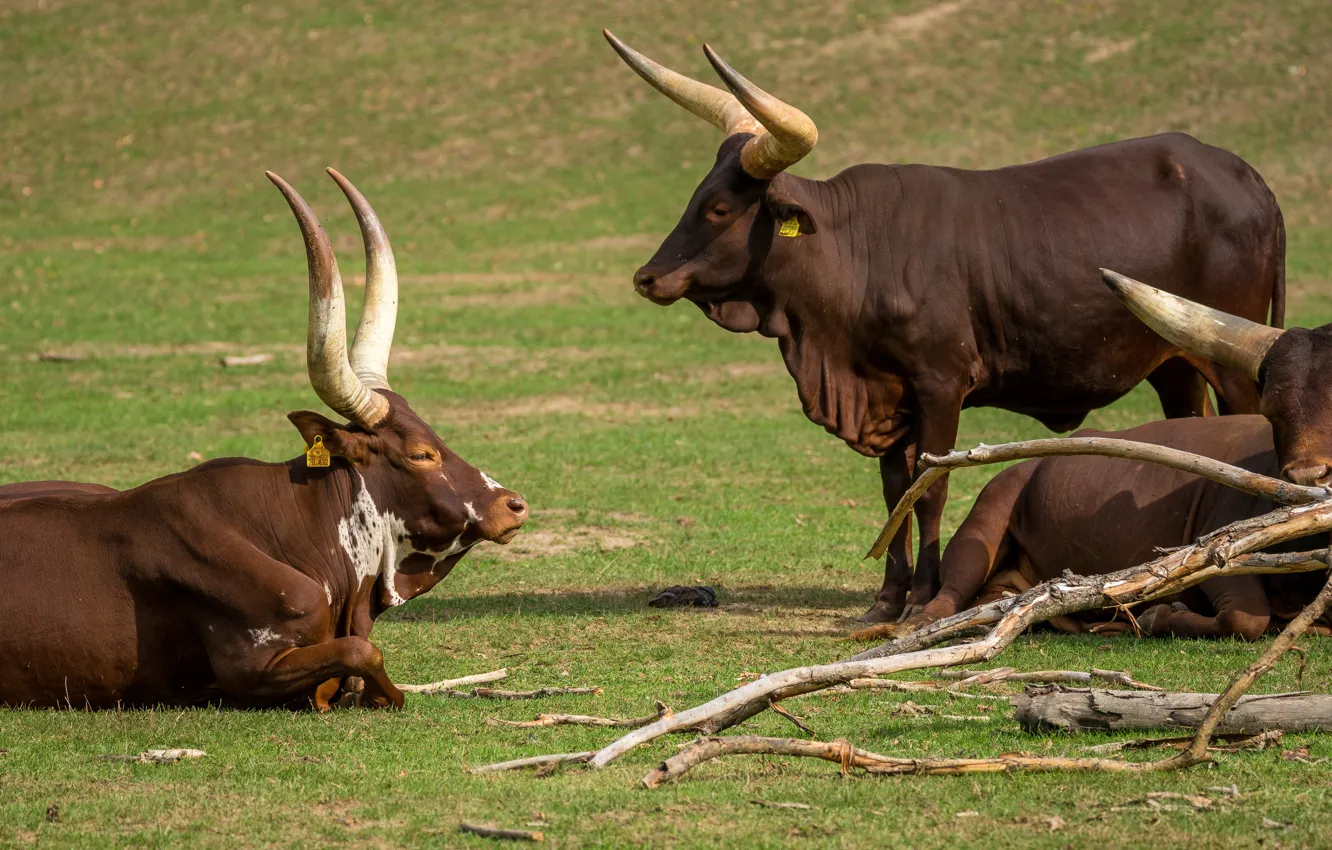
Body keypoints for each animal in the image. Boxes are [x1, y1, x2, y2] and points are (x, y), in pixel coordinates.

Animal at [610, 31, 1284, 626]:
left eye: (720, 208)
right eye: (697, 196)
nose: (647, 277)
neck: (858, 254)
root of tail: (1246, 177)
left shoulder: (940, 386)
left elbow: (929, 488)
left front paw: (919, 600)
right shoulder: (886, 397)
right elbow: (894, 493)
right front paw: (885, 600)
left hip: (1232, 359)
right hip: (1174, 363)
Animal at [873, 277, 1332, 642]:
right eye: (1271, 411)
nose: (1309, 477)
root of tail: (1026, 464)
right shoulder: (1218, 550)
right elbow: (1246, 618)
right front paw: (1161, 615)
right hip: (986, 516)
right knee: (952, 592)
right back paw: (917, 623)